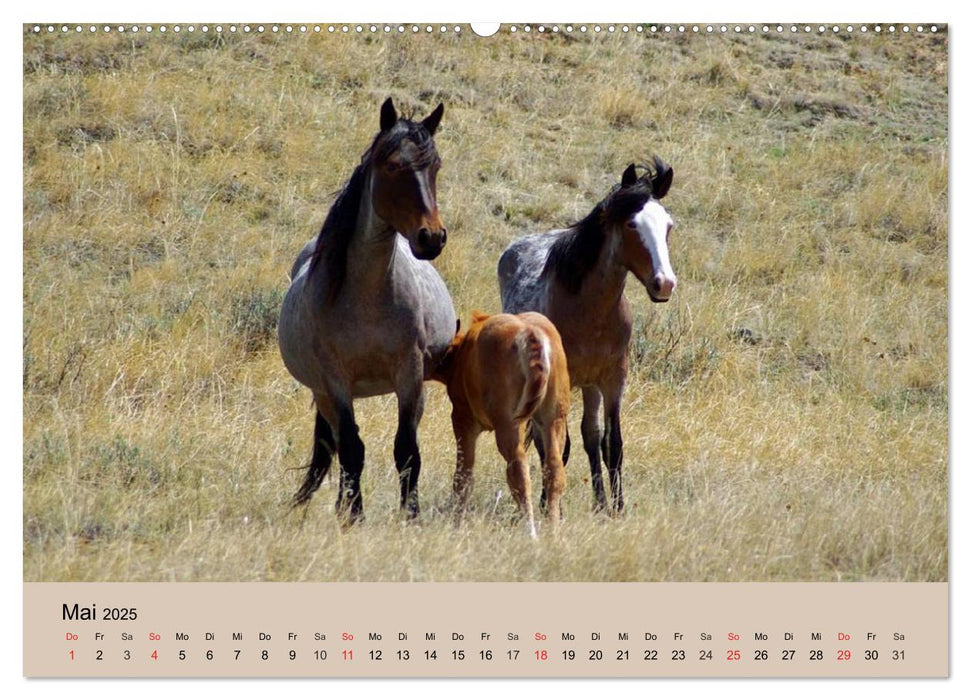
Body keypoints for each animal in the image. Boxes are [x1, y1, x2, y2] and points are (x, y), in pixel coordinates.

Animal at [280, 100, 458, 524]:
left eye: (435, 165)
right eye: (392, 165)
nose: (432, 237)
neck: (367, 300)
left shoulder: (410, 373)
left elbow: (406, 450)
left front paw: (411, 515)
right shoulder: (336, 381)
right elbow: (352, 450)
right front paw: (355, 517)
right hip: (323, 394)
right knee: (337, 446)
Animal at [432, 312, 568, 536]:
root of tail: (532, 335)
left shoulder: (463, 420)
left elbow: (463, 476)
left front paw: (456, 525)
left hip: (509, 425)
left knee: (518, 471)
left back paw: (530, 531)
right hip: (554, 419)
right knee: (554, 468)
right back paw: (553, 529)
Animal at [502, 160, 676, 516]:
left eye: (668, 225)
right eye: (632, 224)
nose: (664, 283)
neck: (590, 312)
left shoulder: (613, 378)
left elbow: (612, 444)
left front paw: (616, 508)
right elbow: (557, 446)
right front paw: (550, 505)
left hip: (590, 385)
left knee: (590, 436)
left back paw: (599, 501)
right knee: (545, 439)